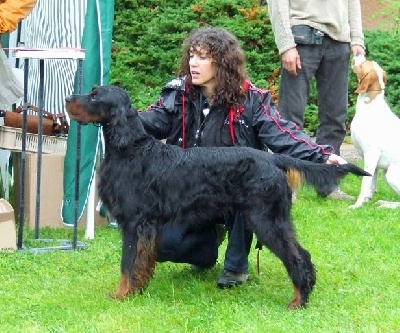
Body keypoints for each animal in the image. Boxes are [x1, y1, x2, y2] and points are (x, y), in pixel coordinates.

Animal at [65, 85, 368, 308]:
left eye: (94, 95)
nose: (68, 98)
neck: (130, 149)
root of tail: (272, 159)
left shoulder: (134, 222)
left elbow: (127, 264)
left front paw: (122, 294)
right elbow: (139, 262)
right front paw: (137, 289)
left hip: (265, 218)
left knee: (295, 257)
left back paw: (298, 300)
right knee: (302, 253)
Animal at [350, 56, 400, 209]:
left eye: (363, 64)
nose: (359, 53)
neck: (370, 106)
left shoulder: (371, 154)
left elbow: (365, 183)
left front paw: (357, 205)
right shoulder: (373, 162)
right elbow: (371, 183)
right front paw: (366, 201)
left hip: (392, 173)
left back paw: (386, 205)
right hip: (386, 171)